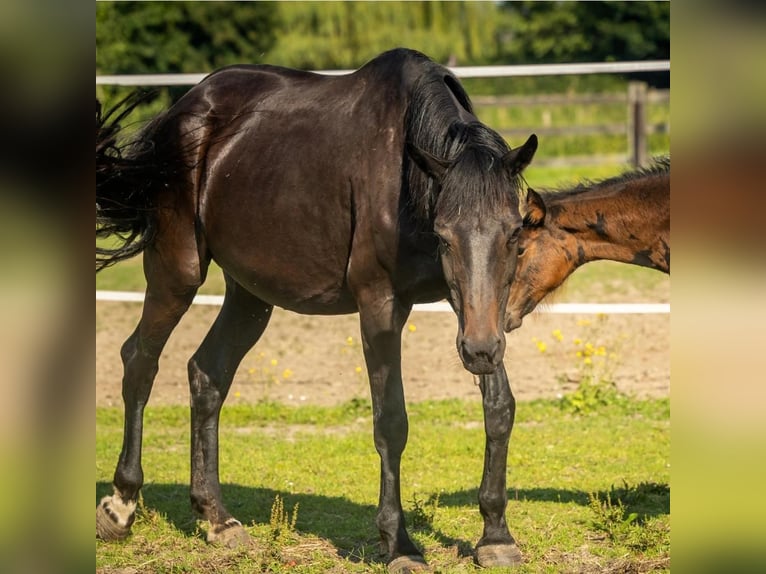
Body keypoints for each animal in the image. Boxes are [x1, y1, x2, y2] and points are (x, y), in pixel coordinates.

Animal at [96, 48, 539, 571]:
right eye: (445, 236)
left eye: (515, 232)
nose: (479, 351)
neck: (405, 179)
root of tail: (182, 111)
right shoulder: (380, 306)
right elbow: (391, 421)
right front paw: (400, 544)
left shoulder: (471, 311)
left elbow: (500, 407)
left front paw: (496, 536)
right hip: (176, 273)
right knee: (140, 362)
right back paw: (120, 506)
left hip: (251, 296)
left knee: (206, 374)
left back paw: (217, 519)